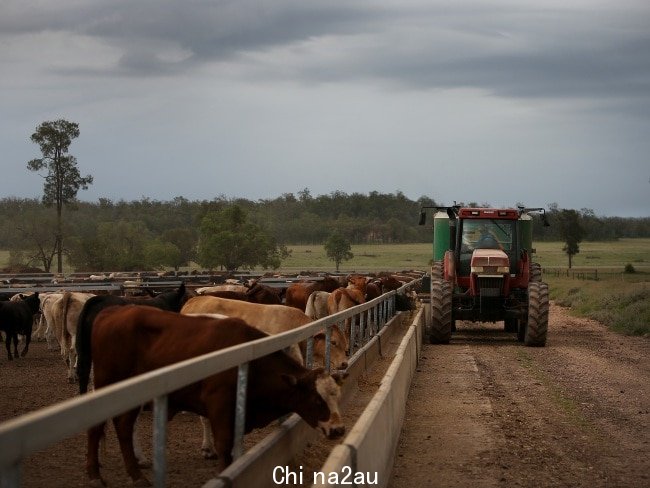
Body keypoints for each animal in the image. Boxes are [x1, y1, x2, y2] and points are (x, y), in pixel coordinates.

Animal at [77, 304, 344, 484]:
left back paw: (136, 475)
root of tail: (110, 313)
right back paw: (95, 474)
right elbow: (224, 445)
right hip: (106, 385)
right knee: (97, 428)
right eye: (317, 399)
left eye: (336, 396)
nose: (339, 429)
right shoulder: (219, 404)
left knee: (123, 427)